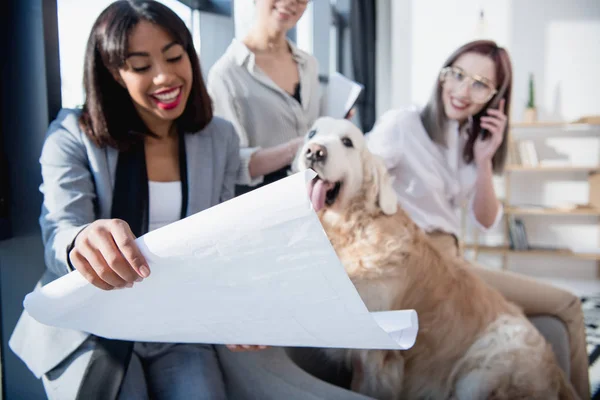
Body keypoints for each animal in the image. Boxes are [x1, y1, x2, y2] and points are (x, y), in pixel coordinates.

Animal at [292, 116, 576, 400]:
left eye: (347, 142)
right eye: (312, 134)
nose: (314, 151)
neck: (352, 228)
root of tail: (557, 373)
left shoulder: (378, 355)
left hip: (482, 371)